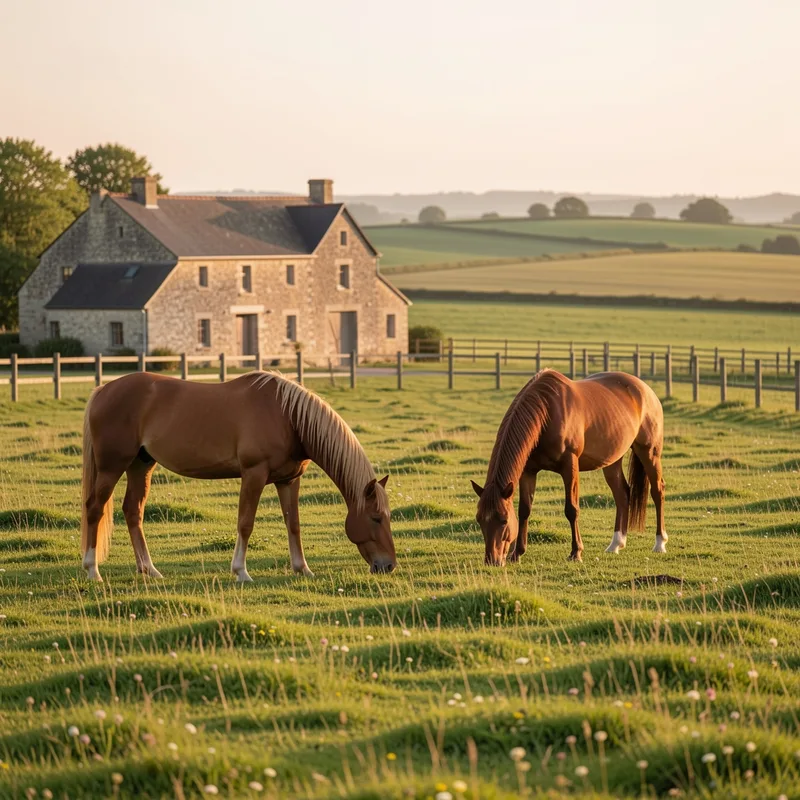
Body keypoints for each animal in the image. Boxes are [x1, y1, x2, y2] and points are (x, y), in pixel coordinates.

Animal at [80, 371, 395, 582]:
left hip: (140, 465)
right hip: (111, 467)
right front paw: (241, 571)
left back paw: (149, 570)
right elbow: (245, 523)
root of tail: (103, 390)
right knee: (95, 509)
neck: (287, 416)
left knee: (133, 511)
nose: (389, 565)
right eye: (376, 518)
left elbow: (293, 524)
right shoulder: (253, 475)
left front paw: (302, 568)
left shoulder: (288, 480)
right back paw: (92, 570)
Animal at [471, 369, 667, 565]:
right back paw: (616, 544)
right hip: (612, 461)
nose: (492, 560)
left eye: (504, 520)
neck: (547, 412)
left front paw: (576, 552)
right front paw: (517, 553)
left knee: (657, 491)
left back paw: (659, 543)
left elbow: (571, 509)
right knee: (622, 494)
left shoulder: (569, 465)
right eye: (479, 520)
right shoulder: (528, 471)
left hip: (649, 452)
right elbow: (524, 510)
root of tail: (645, 389)